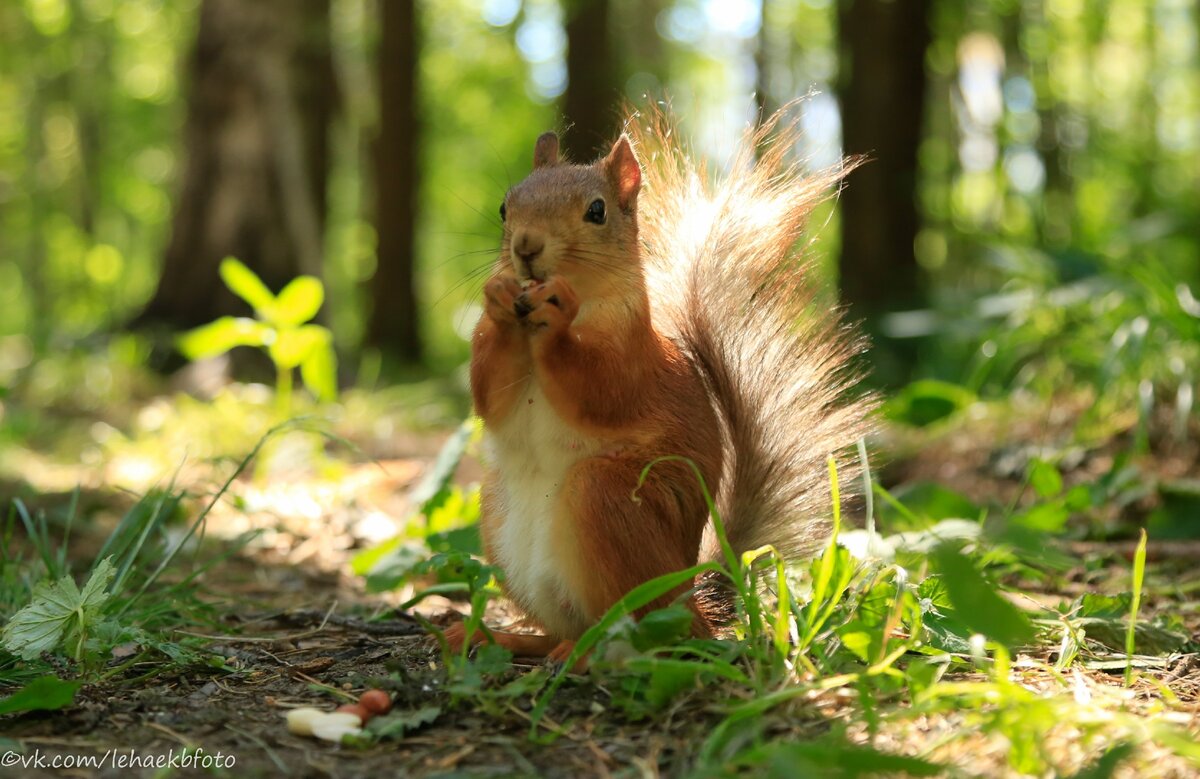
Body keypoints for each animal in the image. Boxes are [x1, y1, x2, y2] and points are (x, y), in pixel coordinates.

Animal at [446, 109, 878, 662]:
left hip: (607, 504)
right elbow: (490, 395)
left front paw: (558, 319)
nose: (525, 248)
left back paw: (582, 654)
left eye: (597, 211)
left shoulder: (633, 354)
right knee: (561, 628)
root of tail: (691, 600)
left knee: (634, 632)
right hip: (500, 519)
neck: (533, 329)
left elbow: (602, 390)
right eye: (506, 205)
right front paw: (499, 297)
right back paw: (497, 635)